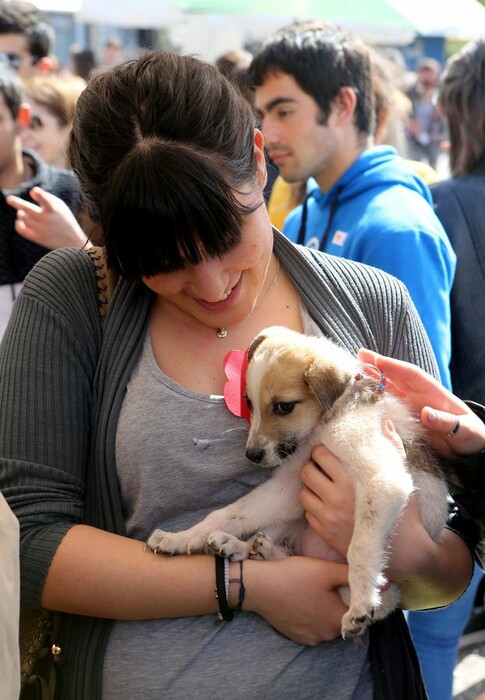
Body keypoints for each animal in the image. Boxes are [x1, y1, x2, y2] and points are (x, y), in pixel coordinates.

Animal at [146, 326, 448, 636]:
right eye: (249, 402)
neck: (330, 416)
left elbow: (359, 548)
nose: (251, 455)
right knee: (278, 547)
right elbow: (230, 513)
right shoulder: (291, 483)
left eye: (283, 406)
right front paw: (179, 538)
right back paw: (242, 546)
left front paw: (361, 603)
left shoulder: (383, 478)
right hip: (293, 516)